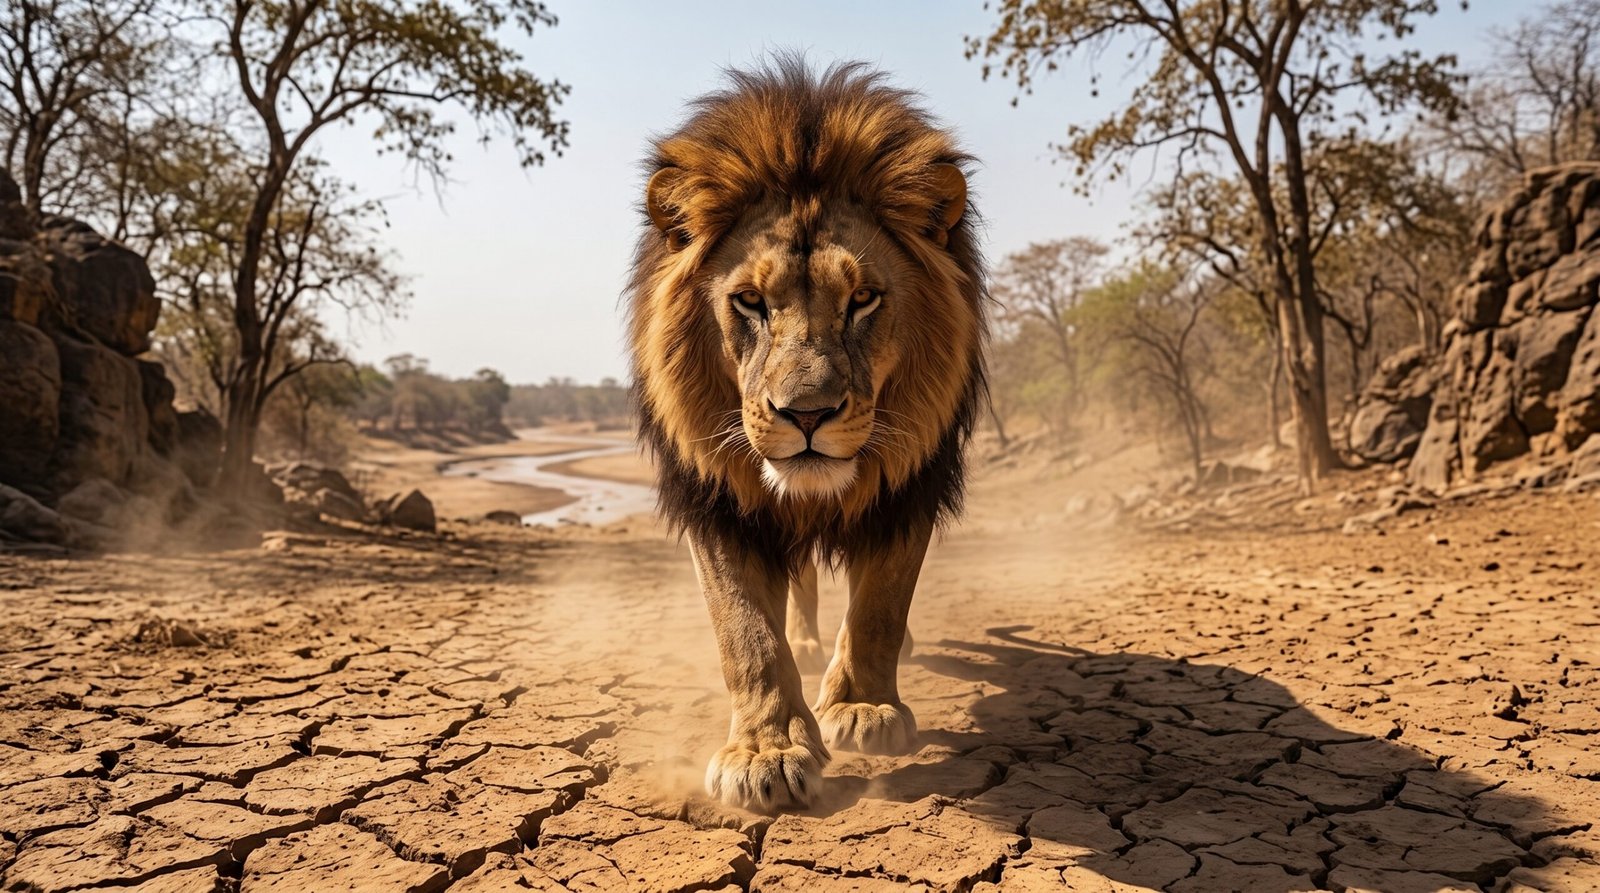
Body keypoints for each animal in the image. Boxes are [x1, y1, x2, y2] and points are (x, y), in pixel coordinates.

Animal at [626, 58, 986, 812]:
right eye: (750, 301)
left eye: (863, 299)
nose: (808, 414)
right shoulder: (718, 497)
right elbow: (745, 632)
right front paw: (765, 750)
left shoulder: (910, 483)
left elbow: (881, 605)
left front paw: (863, 708)